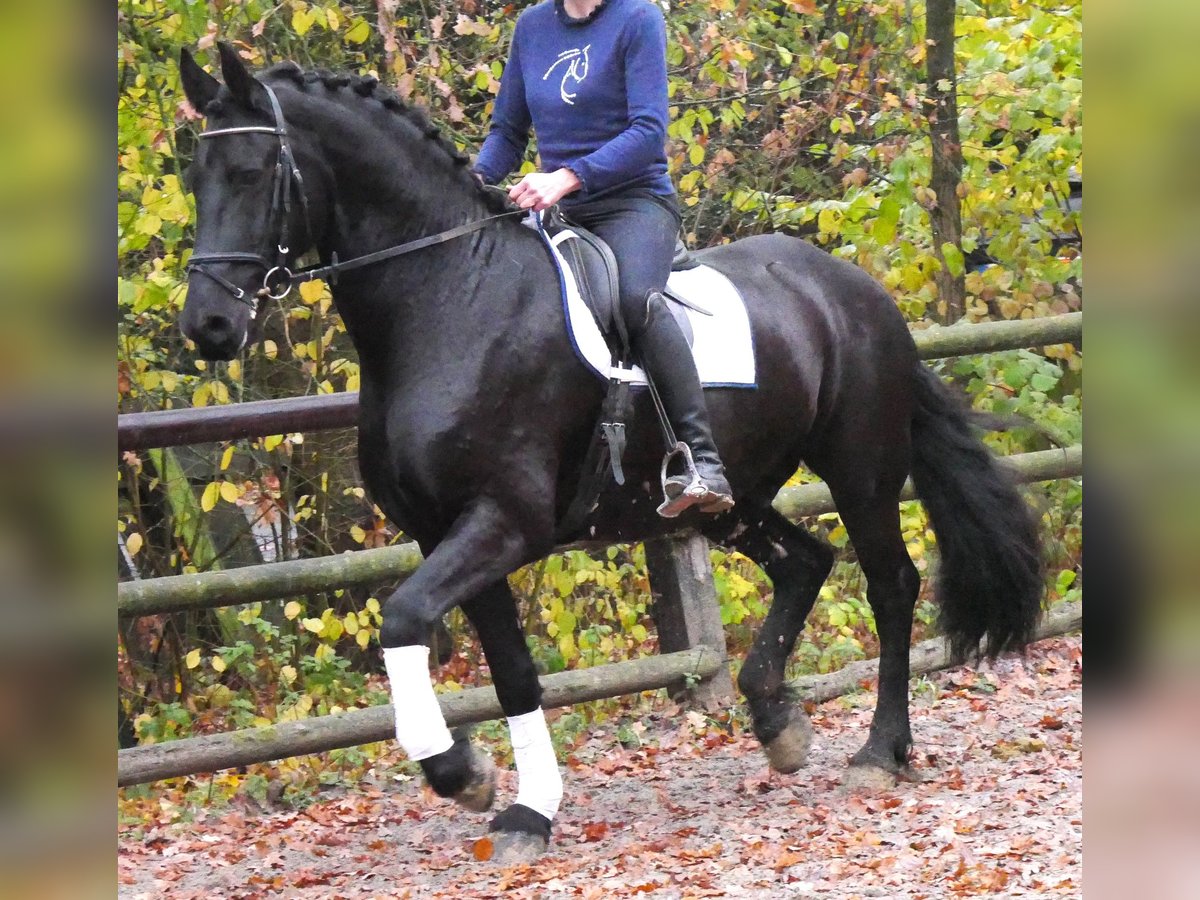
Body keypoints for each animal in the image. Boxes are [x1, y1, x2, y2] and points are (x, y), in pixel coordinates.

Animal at [175, 43, 1043, 861]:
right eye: (196, 177)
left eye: (251, 173)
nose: (209, 326)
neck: (451, 297)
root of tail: (856, 289)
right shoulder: (444, 532)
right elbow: (512, 671)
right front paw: (526, 808)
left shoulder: (503, 521)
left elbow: (402, 619)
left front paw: (461, 772)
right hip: (734, 499)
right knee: (805, 562)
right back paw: (776, 720)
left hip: (860, 469)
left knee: (891, 585)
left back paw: (879, 751)